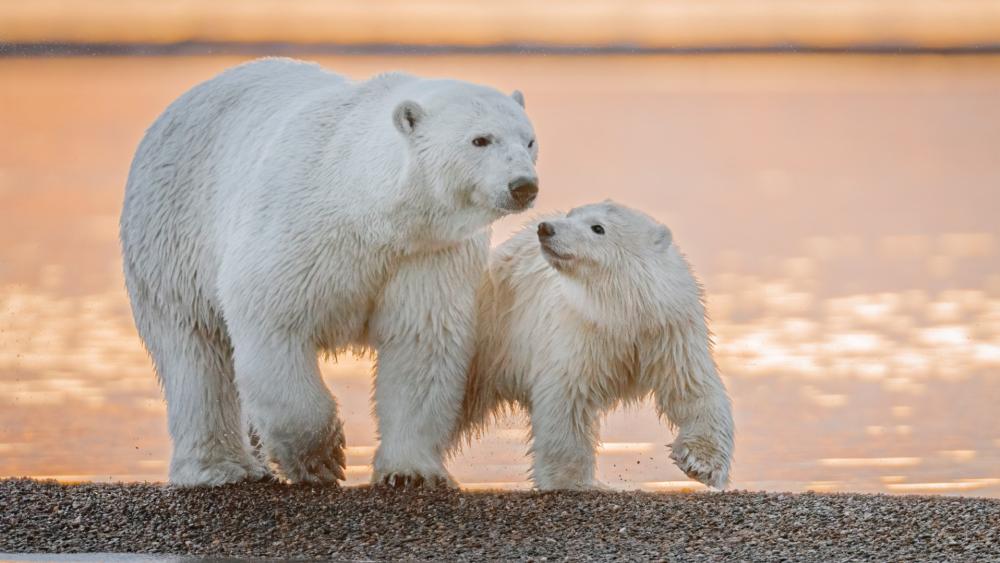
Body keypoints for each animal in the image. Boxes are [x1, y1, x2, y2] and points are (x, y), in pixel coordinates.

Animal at [119, 58, 539, 487]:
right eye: (480, 140)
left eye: (528, 141)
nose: (523, 186)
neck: (367, 206)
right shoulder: (296, 231)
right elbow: (273, 322)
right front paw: (322, 459)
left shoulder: (426, 254)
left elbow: (421, 343)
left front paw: (411, 472)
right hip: (173, 236)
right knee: (194, 350)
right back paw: (219, 467)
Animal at [457, 201, 734, 490]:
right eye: (571, 215)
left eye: (597, 227)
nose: (545, 228)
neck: (624, 313)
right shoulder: (579, 334)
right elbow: (566, 399)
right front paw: (572, 481)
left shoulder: (669, 333)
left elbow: (692, 389)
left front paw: (700, 464)